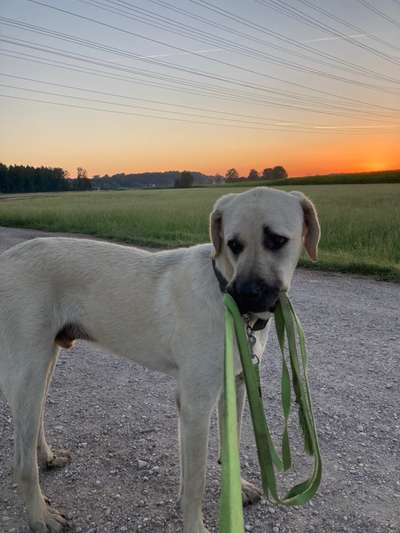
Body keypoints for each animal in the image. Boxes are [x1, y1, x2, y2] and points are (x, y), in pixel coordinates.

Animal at [0, 187, 318, 532]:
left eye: (276, 240)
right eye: (234, 244)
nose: (242, 295)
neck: (220, 282)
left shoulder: (234, 387)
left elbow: (228, 445)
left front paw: (237, 488)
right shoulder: (195, 405)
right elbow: (195, 482)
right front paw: (195, 525)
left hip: (46, 362)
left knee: (35, 425)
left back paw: (46, 457)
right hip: (28, 371)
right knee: (21, 462)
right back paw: (40, 516)